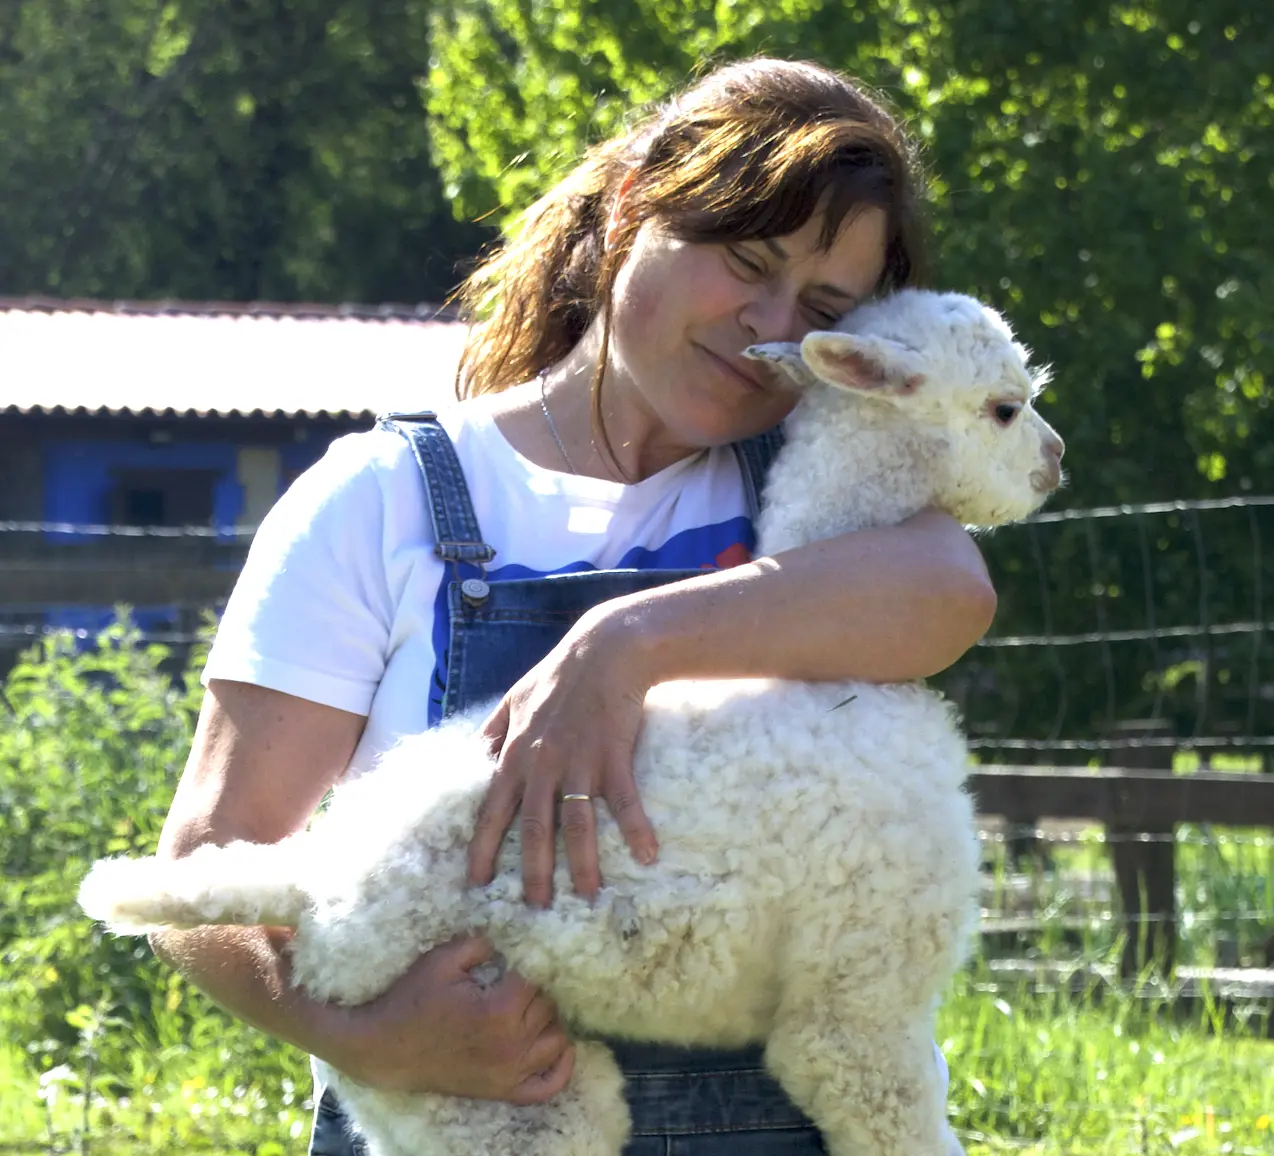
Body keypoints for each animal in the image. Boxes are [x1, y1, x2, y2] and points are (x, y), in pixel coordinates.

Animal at [79, 291, 1065, 1156]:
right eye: (1005, 407)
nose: (1054, 463)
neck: (840, 682)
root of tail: (310, 881)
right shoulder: (860, 998)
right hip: (474, 1058)